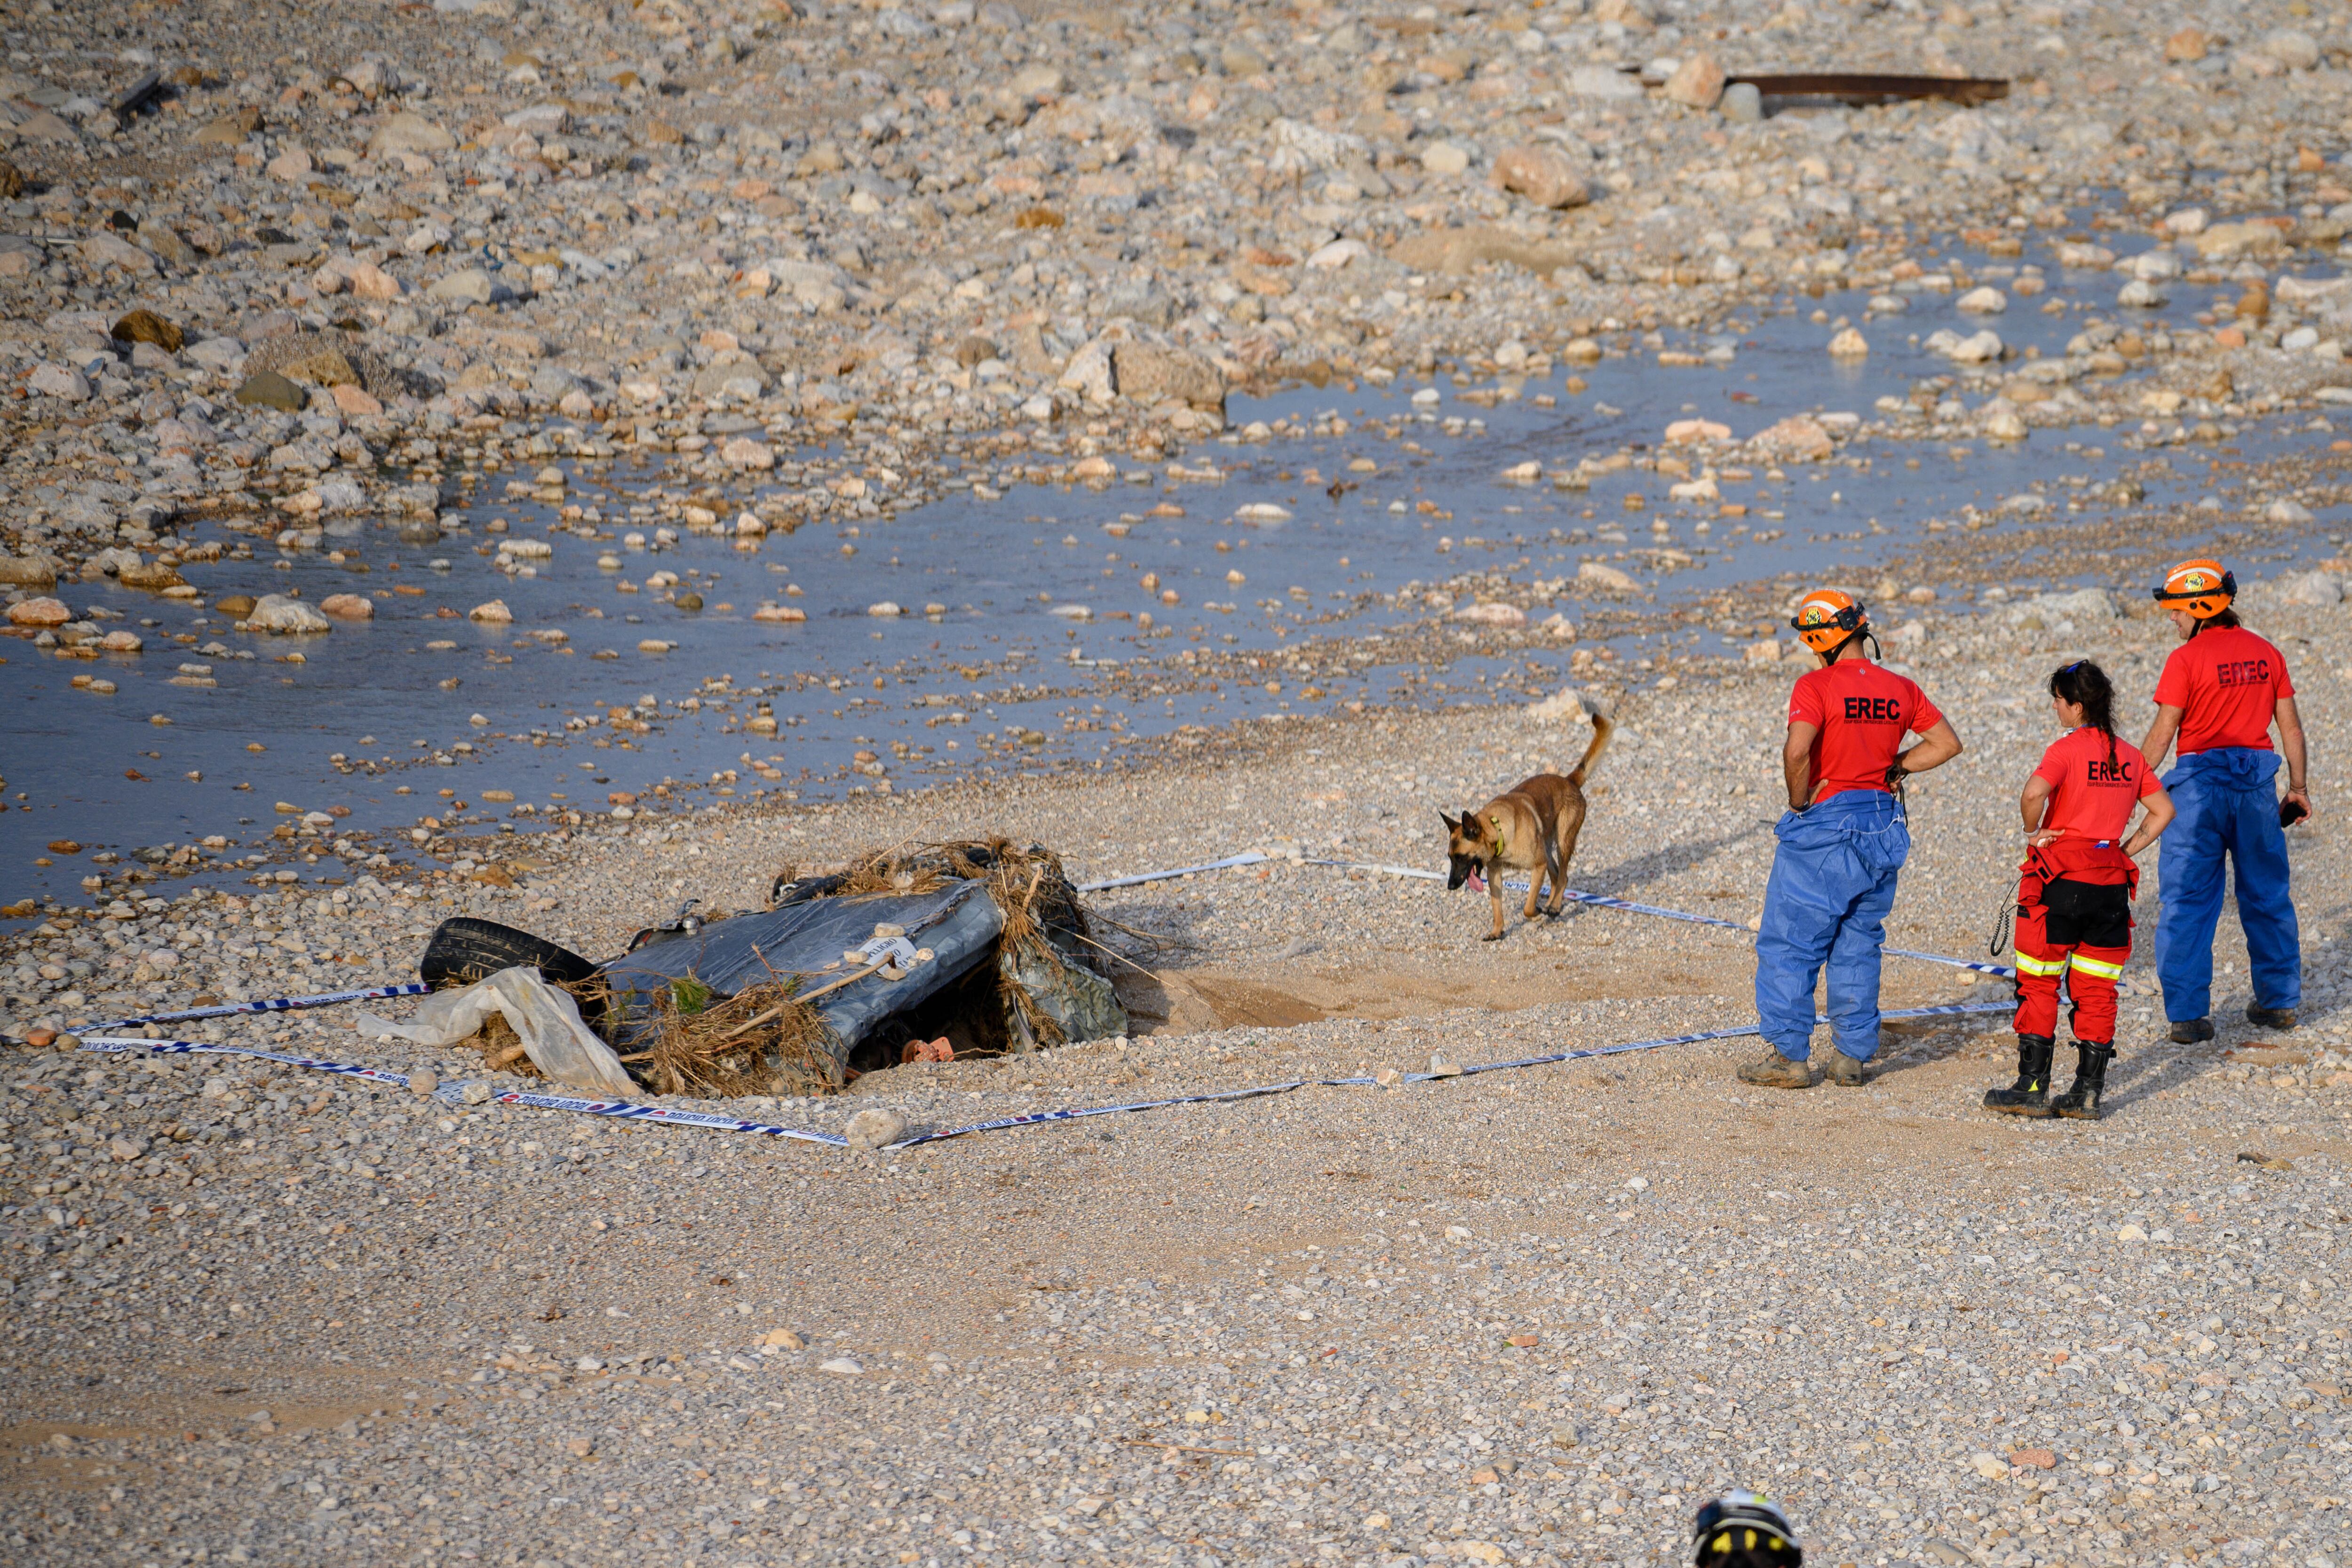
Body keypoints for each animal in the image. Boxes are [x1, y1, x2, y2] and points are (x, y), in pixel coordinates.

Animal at [1439, 714, 1609, 945]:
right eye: (1450, 858)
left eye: (1461, 857)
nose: (1450, 886)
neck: (1498, 830)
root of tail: (1569, 781)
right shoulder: (1495, 874)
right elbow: (1497, 907)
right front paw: (1497, 930)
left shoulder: (1538, 866)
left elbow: (1528, 907)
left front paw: (1536, 913)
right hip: (1547, 847)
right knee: (1556, 876)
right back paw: (1551, 905)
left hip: (1563, 843)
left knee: (1564, 877)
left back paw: (1554, 907)